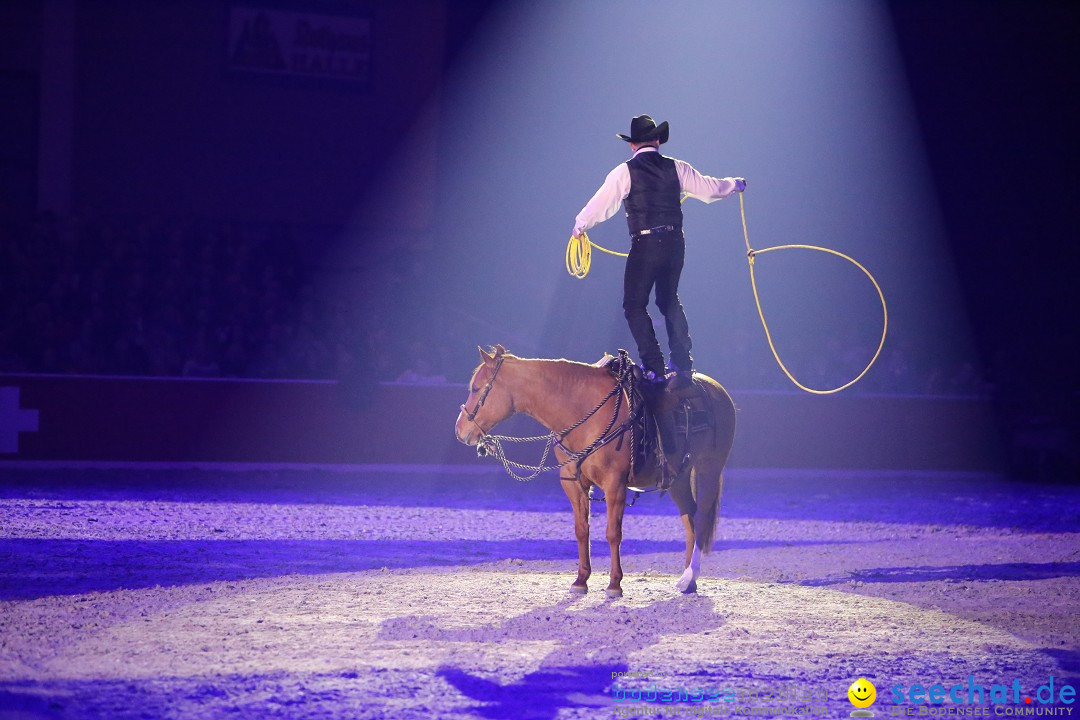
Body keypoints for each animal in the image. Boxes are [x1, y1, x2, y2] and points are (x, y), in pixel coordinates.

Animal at [451, 345, 738, 600]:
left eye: (476, 388)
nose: (460, 430)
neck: (583, 412)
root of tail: (716, 389)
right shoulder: (572, 482)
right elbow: (582, 530)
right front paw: (581, 581)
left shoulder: (614, 485)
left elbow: (613, 533)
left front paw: (614, 584)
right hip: (678, 476)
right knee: (689, 517)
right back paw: (688, 580)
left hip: (709, 467)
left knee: (700, 518)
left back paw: (690, 577)